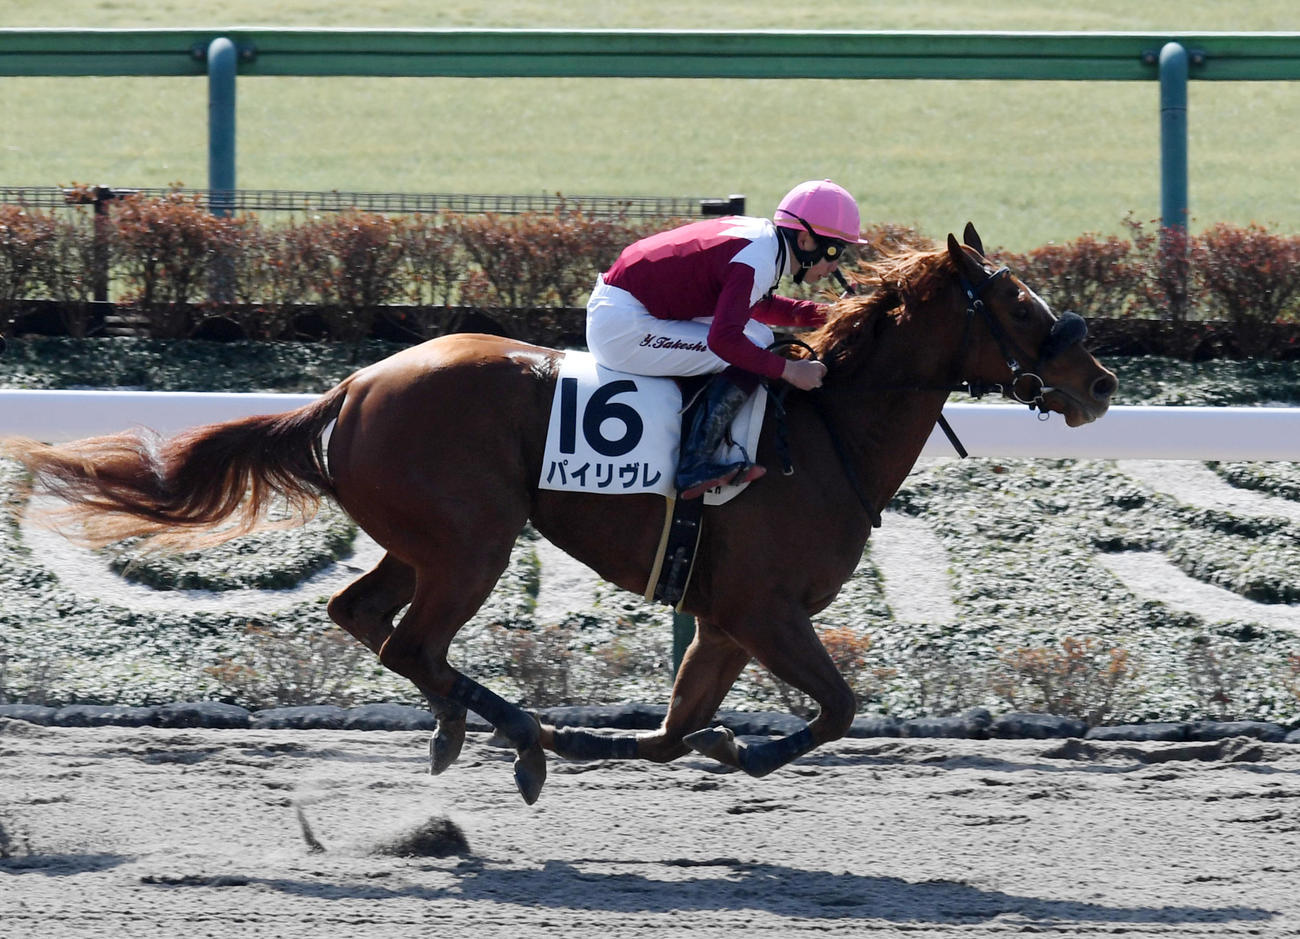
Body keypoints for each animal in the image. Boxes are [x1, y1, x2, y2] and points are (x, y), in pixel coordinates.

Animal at [2, 225, 1117, 804]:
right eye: (1020, 307)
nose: (1100, 382)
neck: (826, 427)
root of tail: (352, 386)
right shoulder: (764, 611)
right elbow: (837, 708)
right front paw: (740, 751)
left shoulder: (724, 619)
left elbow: (677, 728)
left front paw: (666, 744)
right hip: (473, 542)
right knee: (409, 642)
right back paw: (520, 736)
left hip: (427, 539)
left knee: (365, 617)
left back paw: (483, 728)